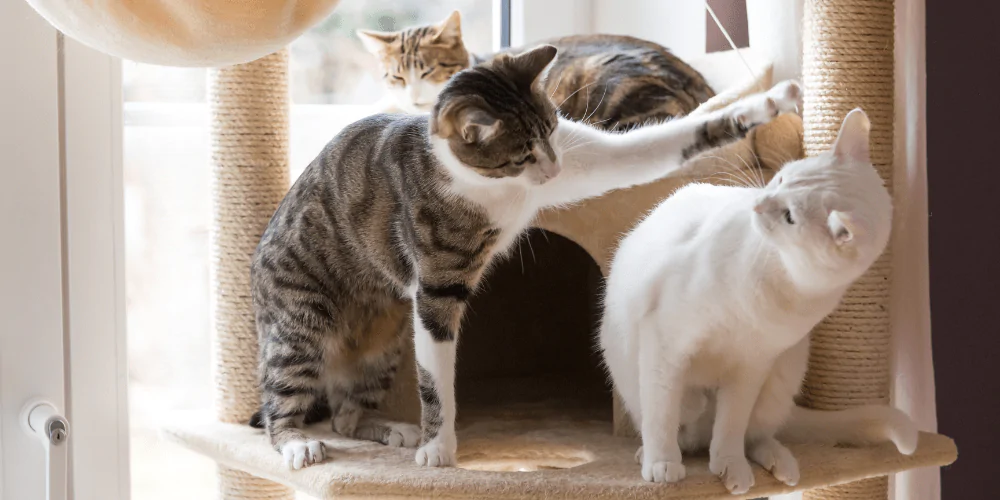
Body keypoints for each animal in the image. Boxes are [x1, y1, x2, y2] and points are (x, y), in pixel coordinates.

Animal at [596, 107, 916, 494]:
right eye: (780, 179)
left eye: (790, 216)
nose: (759, 203)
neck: (780, 275)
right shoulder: (666, 342)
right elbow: (663, 413)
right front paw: (662, 463)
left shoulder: (752, 366)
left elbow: (732, 425)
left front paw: (729, 465)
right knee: (679, 424)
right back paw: (657, 448)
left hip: (783, 371)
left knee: (754, 434)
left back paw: (778, 463)